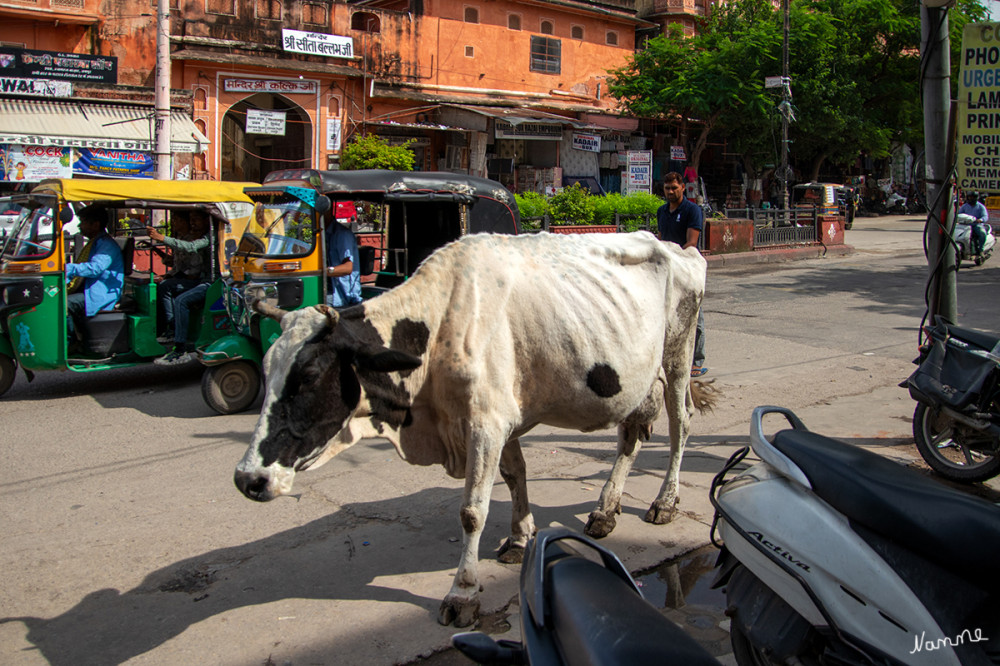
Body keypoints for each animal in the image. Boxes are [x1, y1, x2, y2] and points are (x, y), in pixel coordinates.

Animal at [236, 231, 712, 624]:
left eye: (309, 376)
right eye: (267, 368)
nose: (248, 479)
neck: (441, 323)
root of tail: (677, 247)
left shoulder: (486, 422)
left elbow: (472, 511)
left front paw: (462, 593)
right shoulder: (499, 419)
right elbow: (515, 475)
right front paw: (520, 539)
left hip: (678, 355)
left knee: (680, 425)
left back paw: (665, 501)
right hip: (636, 379)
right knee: (630, 437)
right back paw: (605, 509)